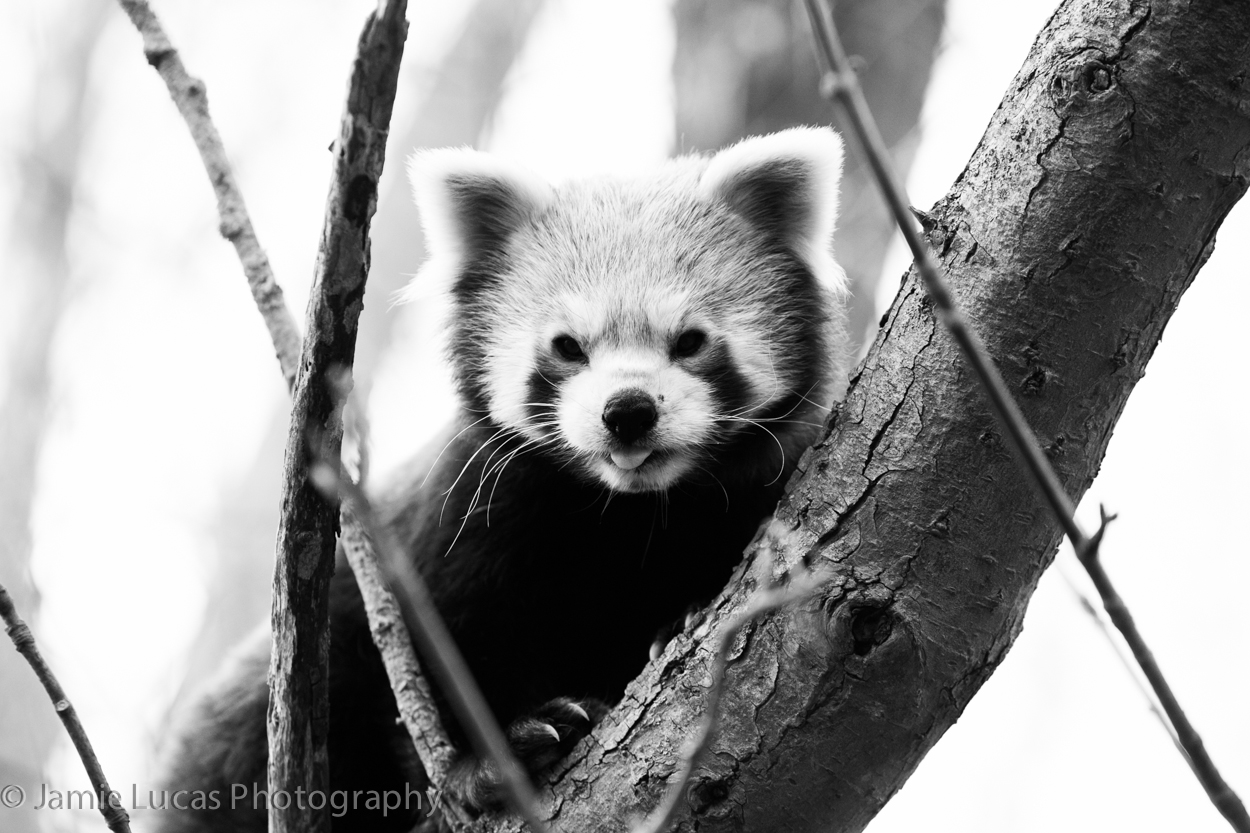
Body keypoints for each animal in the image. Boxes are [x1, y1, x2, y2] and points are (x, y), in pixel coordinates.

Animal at [155, 126, 849, 833]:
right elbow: (449, 639)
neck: (627, 512)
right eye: (568, 347)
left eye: (689, 341)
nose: (627, 411)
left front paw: (676, 622)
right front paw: (494, 758)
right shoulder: (472, 510)